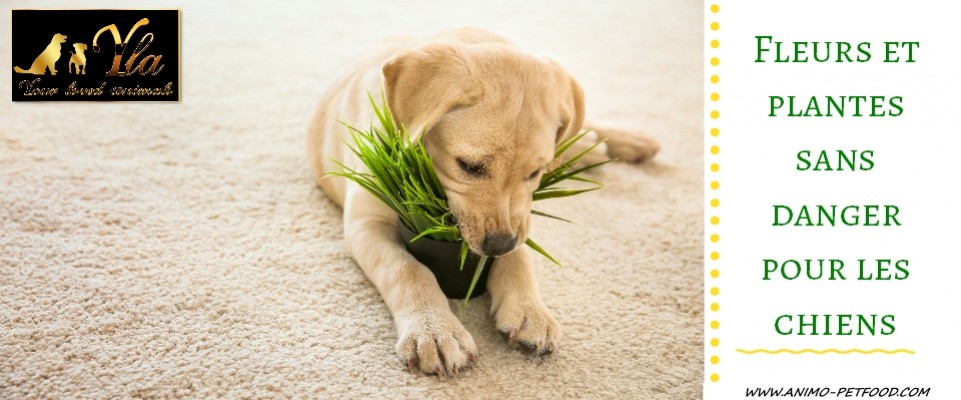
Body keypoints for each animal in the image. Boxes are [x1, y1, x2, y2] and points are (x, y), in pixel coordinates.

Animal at [308, 28, 660, 376]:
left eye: (534, 173)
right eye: (468, 166)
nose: (499, 245)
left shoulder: (520, 218)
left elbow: (520, 259)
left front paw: (530, 310)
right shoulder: (365, 223)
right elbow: (407, 269)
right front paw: (435, 330)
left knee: (579, 124)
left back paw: (625, 141)